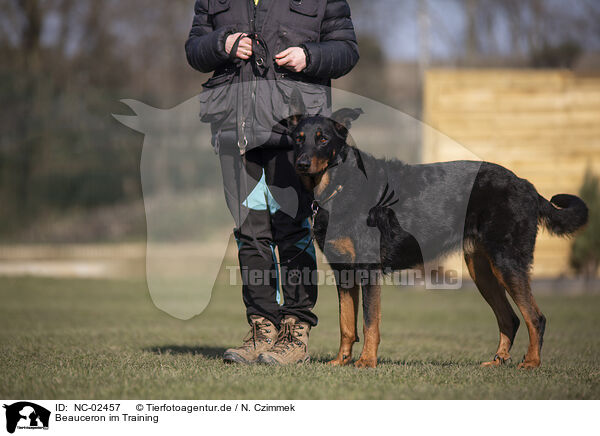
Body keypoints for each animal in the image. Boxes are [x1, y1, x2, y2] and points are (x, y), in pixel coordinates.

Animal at [284, 90, 584, 370]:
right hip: (481, 269)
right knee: (509, 318)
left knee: (535, 317)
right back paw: (497, 361)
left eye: (323, 139)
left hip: (506, 263)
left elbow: (370, 323)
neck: (339, 185)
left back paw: (531, 362)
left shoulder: (368, 269)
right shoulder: (343, 271)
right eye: (298, 138)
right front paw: (341, 361)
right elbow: (346, 323)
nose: (301, 163)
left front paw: (367, 362)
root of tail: (528, 186)